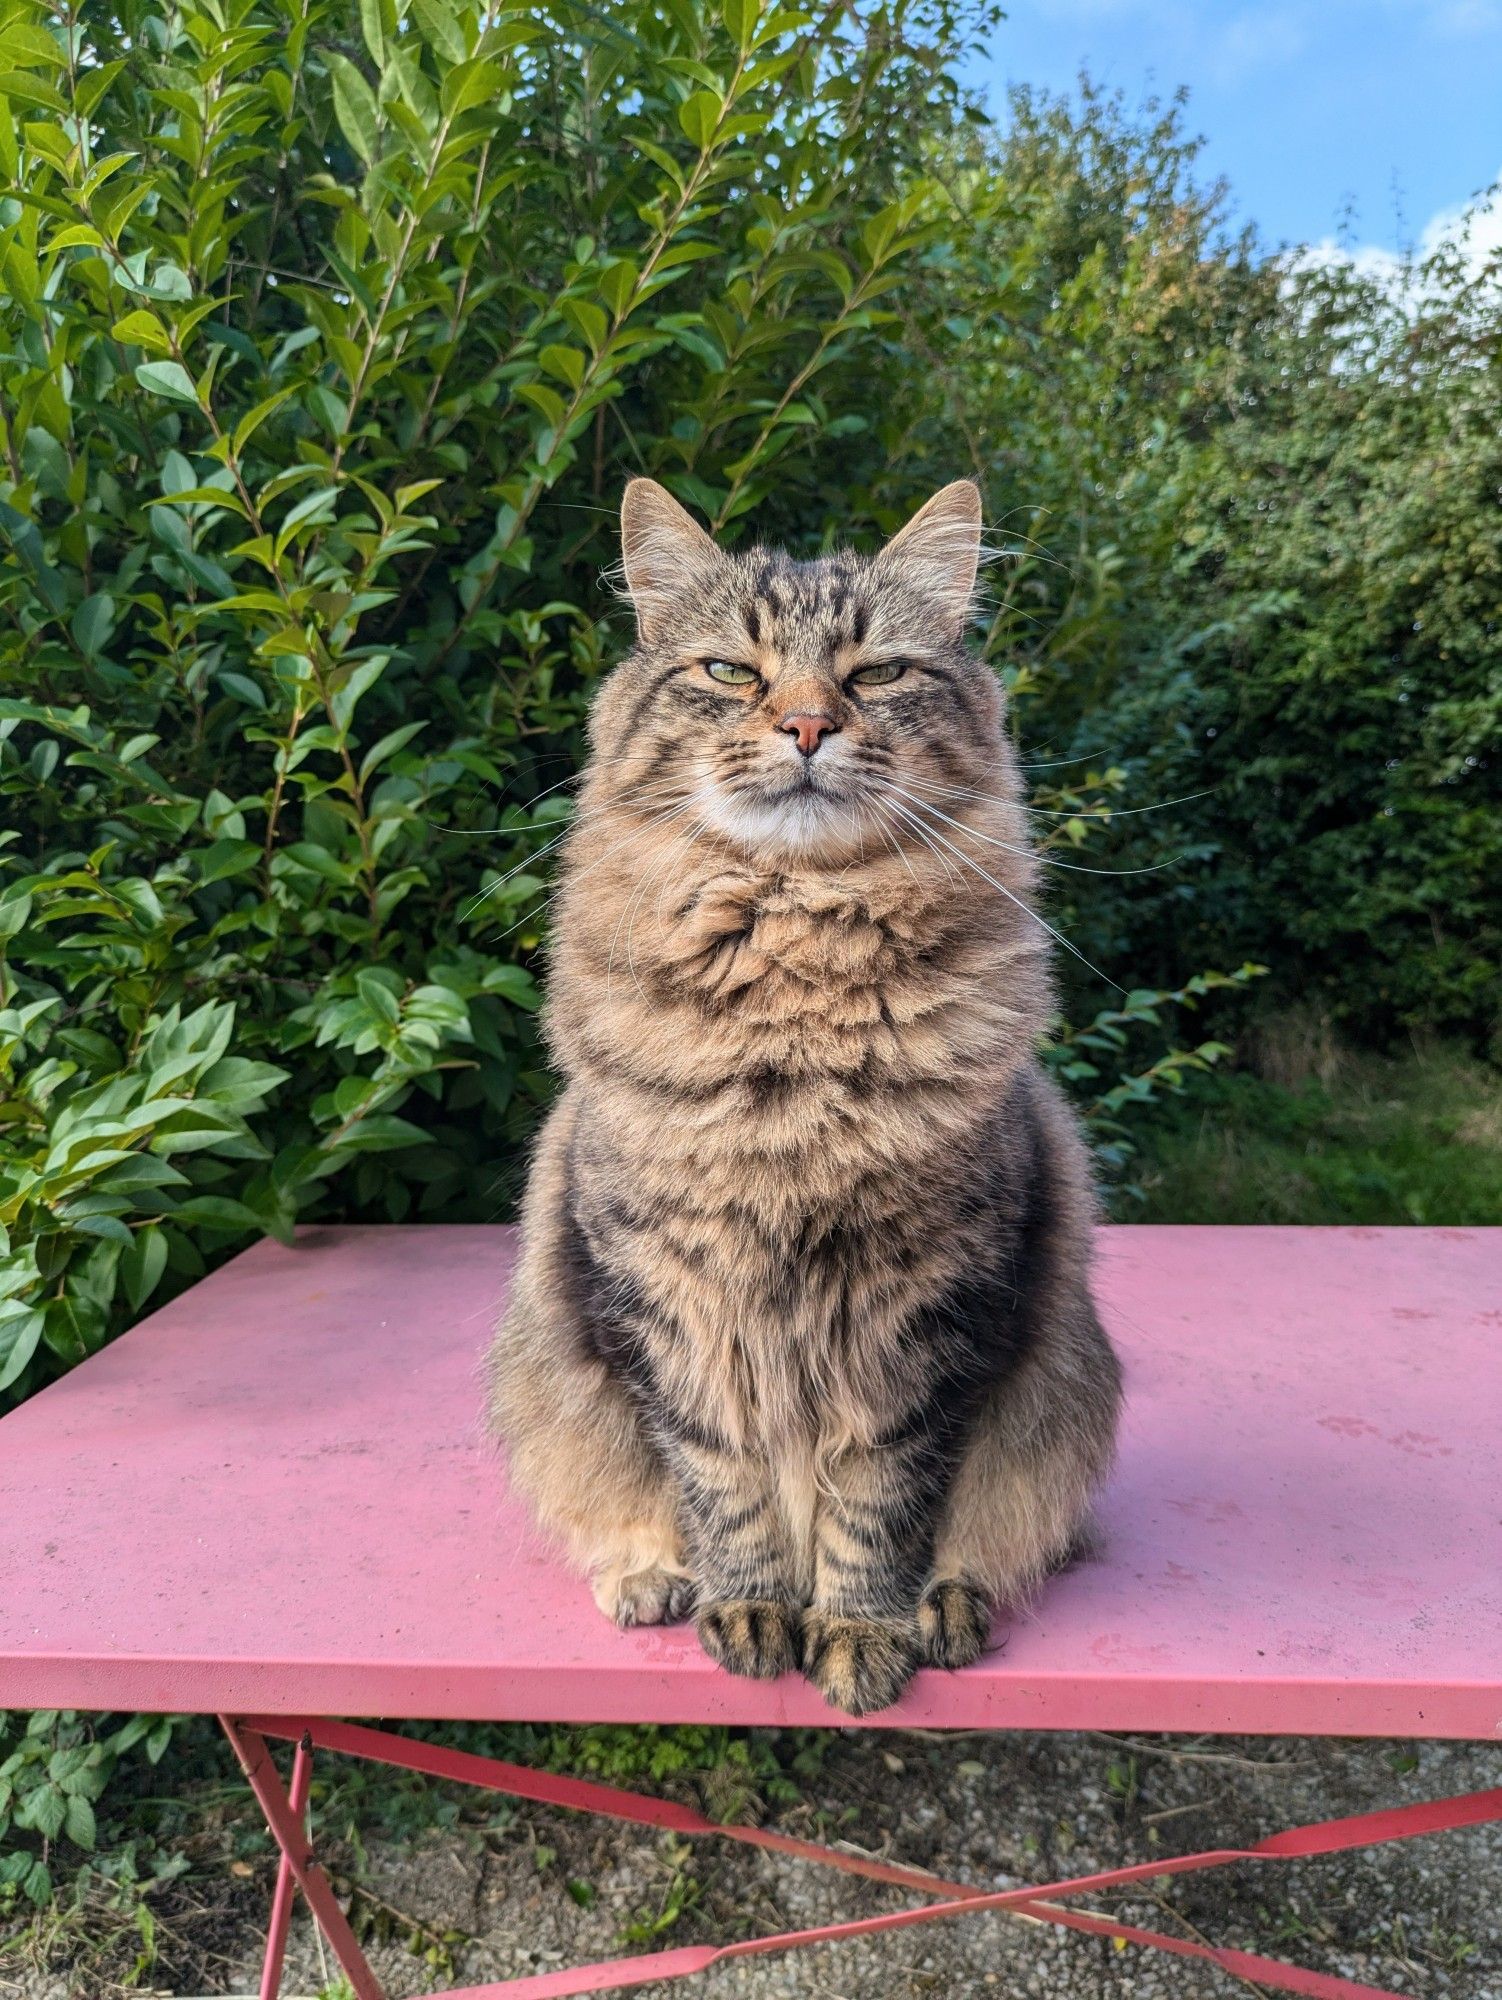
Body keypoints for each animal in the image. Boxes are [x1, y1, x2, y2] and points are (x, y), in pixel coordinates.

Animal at [488, 476, 1120, 1712]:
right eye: (731, 671)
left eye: (875, 673)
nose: (808, 727)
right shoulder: (668, 1303)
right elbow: (722, 1481)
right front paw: (750, 1608)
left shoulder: (929, 1311)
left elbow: (877, 1500)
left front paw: (858, 1630)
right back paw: (650, 1578)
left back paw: (947, 1606)